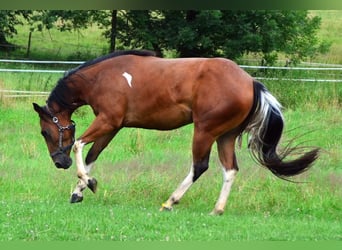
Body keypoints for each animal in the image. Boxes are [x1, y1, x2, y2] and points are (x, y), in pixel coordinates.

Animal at [33, 49, 320, 215]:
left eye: (45, 132)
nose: (59, 162)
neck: (103, 77)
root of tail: (250, 81)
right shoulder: (112, 127)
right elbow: (92, 156)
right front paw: (79, 190)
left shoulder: (108, 121)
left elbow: (79, 146)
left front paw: (87, 183)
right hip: (225, 136)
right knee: (229, 170)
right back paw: (217, 209)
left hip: (204, 131)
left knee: (199, 166)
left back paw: (170, 201)